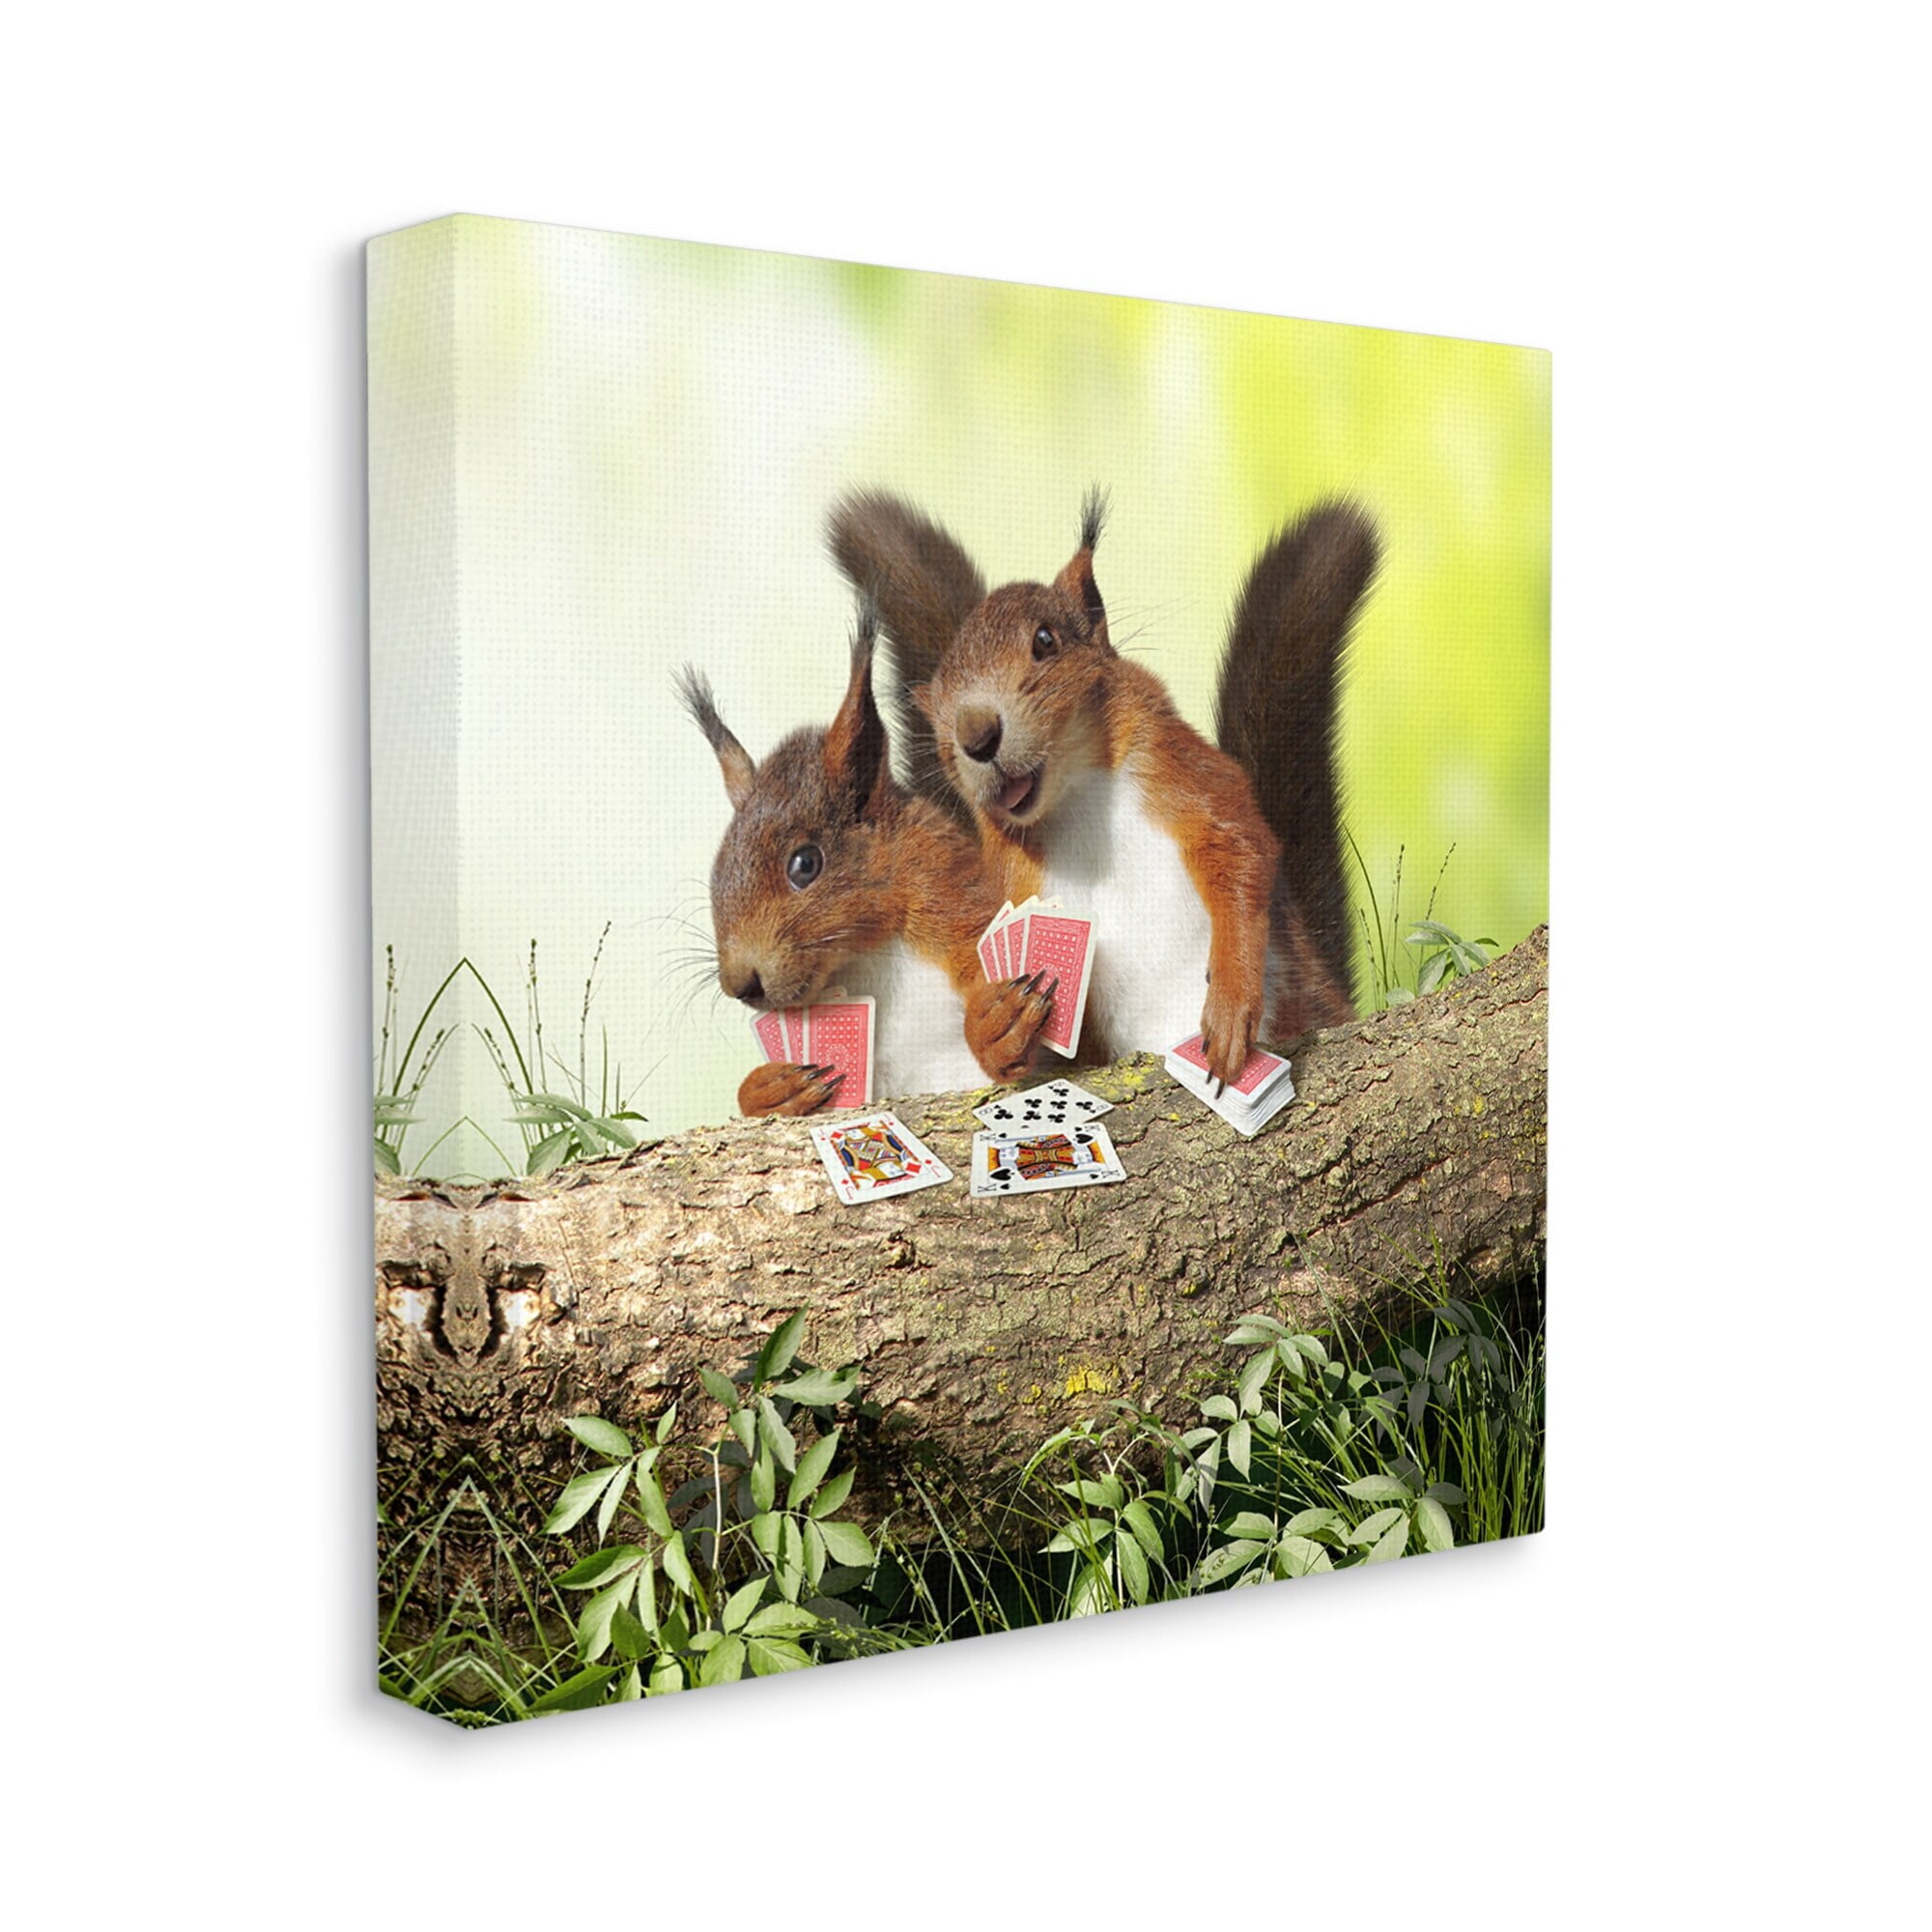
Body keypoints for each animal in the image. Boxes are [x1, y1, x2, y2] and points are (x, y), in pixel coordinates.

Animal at [677, 601, 1056, 1117]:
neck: (866, 956)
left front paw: (999, 1024)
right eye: (715, 871)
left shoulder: (952, 899)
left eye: (805, 864)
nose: (741, 984)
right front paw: (769, 1088)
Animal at [828, 489, 1376, 1089]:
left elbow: (1239, 849)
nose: (975, 735)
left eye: (1045, 640)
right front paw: (995, 1026)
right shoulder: (1007, 883)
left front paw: (1232, 1005)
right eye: (938, 707)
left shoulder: (1183, 771)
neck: (1074, 800)